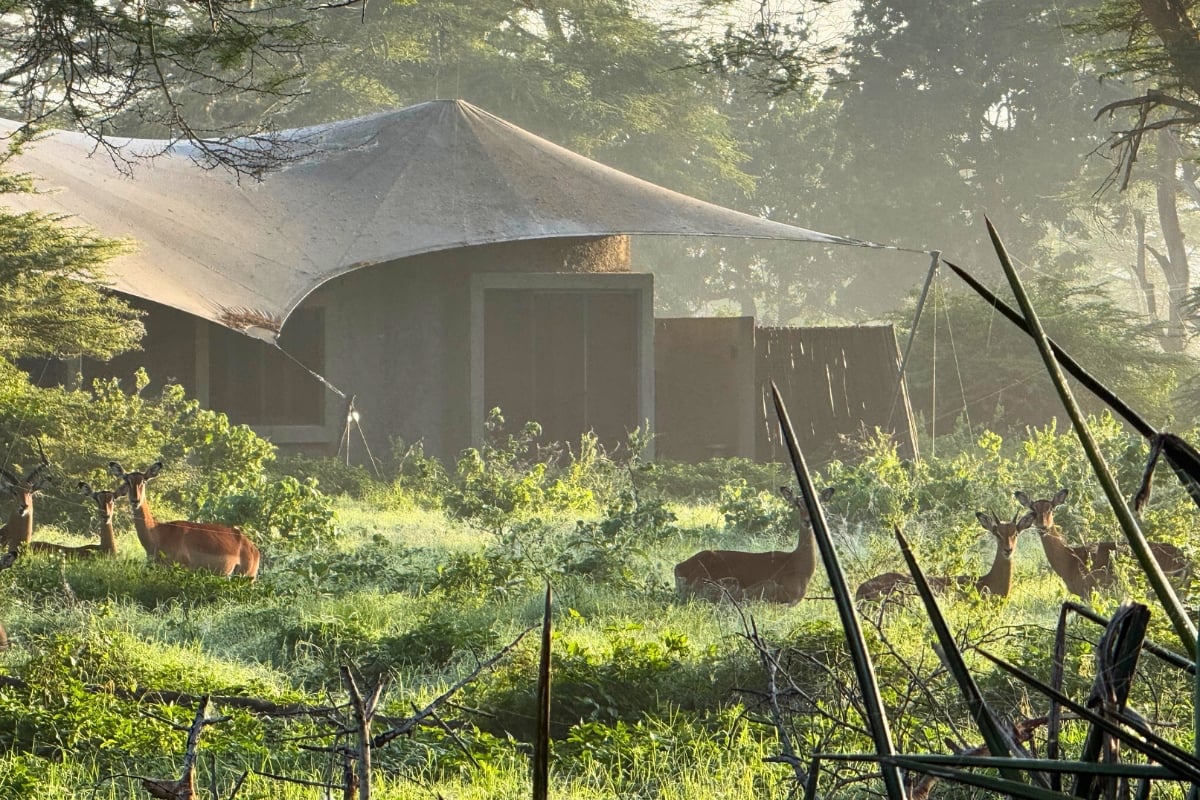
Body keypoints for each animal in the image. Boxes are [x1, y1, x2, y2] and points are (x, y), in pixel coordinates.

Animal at [1012, 484, 1190, 597]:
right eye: (1033, 510)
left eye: (1051, 508)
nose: (1042, 526)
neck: (1070, 560)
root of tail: (1185, 560)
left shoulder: (1090, 592)